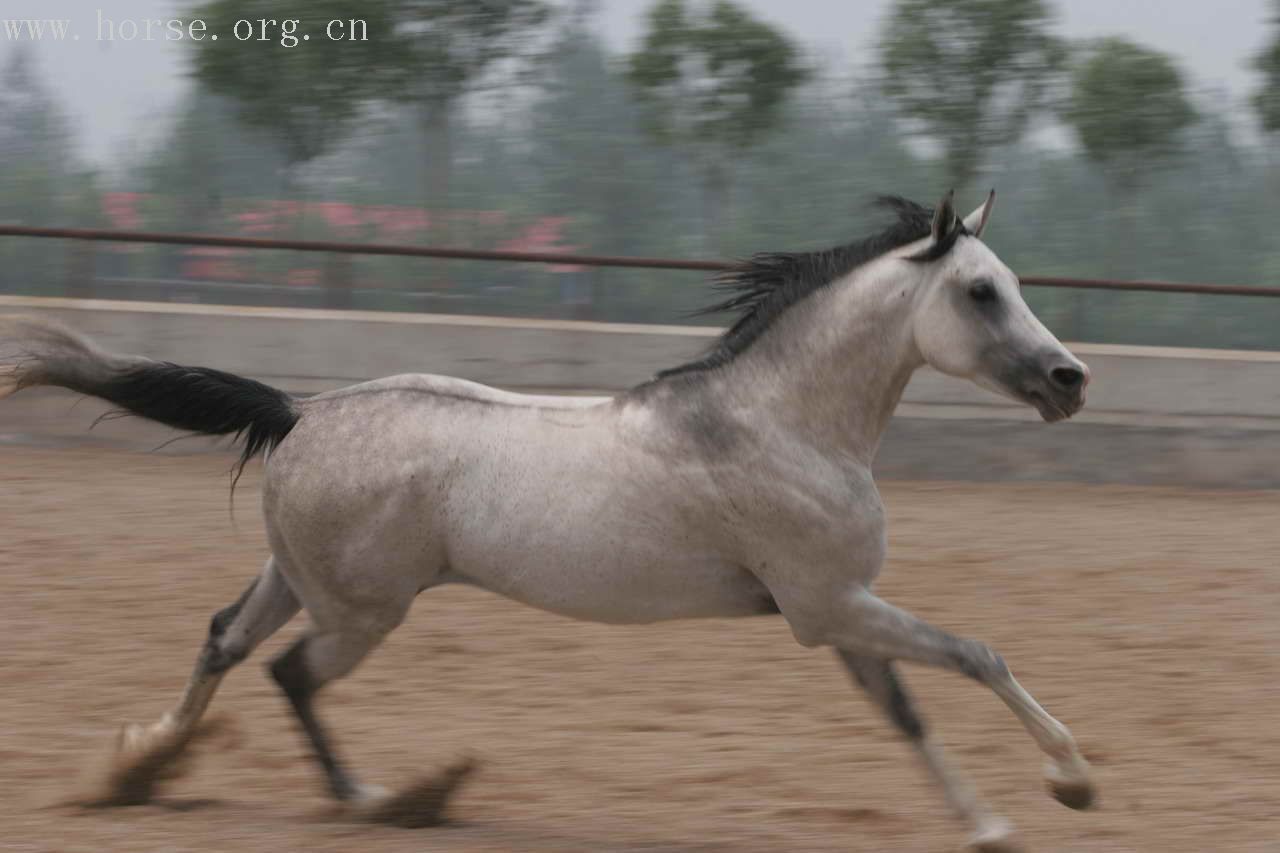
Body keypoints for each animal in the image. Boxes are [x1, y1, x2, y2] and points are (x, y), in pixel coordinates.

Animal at [5, 189, 1095, 845]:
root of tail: (300, 411)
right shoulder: (829, 604)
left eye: (1011, 284)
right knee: (288, 673)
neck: (780, 422)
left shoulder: (835, 610)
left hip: (298, 577)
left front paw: (988, 823)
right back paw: (382, 798)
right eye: (980, 290)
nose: (1069, 380)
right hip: (361, 611)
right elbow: (977, 653)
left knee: (223, 640)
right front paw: (1072, 781)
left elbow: (906, 710)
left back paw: (140, 761)